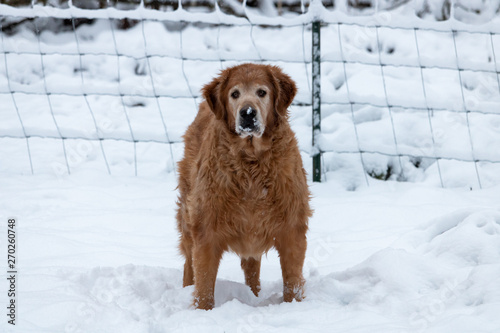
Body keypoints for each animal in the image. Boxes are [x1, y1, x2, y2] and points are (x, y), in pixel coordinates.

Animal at [175, 62, 308, 308]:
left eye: (262, 92)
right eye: (234, 94)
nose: (247, 113)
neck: (251, 162)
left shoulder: (292, 228)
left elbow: (292, 281)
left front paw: (294, 306)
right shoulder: (206, 230)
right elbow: (204, 283)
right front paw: (202, 311)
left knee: (251, 267)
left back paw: (253, 296)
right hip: (188, 217)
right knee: (189, 262)